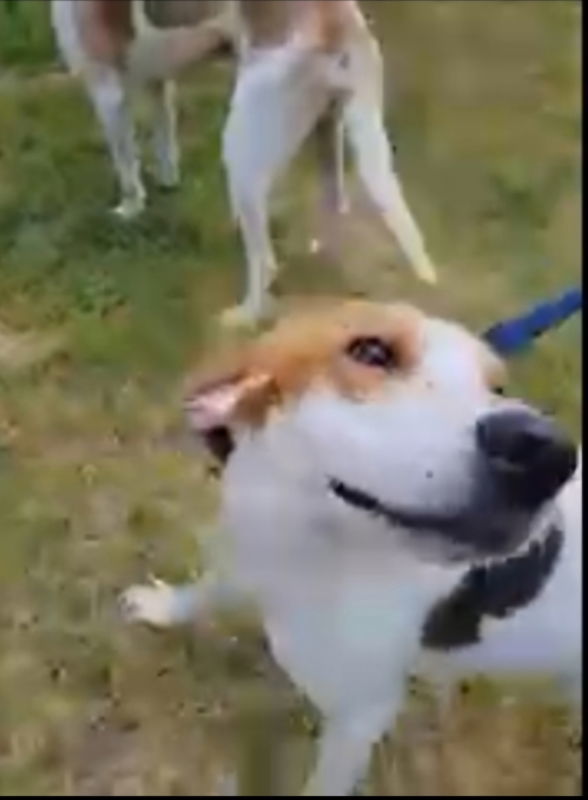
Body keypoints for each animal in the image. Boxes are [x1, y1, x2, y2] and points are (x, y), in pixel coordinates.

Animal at [50, 2, 436, 324]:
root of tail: (336, 20)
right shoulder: (159, 82)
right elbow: (165, 142)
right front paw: (167, 183)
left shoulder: (107, 93)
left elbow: (126, 168)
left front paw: (129, 211)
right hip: (328, 130)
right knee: (334, 207)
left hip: (241, 154)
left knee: (265, 262)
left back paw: (246, 315)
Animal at [121, 298, 580, 792]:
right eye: (371, 351)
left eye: (496, 387)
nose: (549, 454)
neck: (312, 549)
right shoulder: (247, 556)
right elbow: (208, 590)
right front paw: (164, 607)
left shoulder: (361, 716)